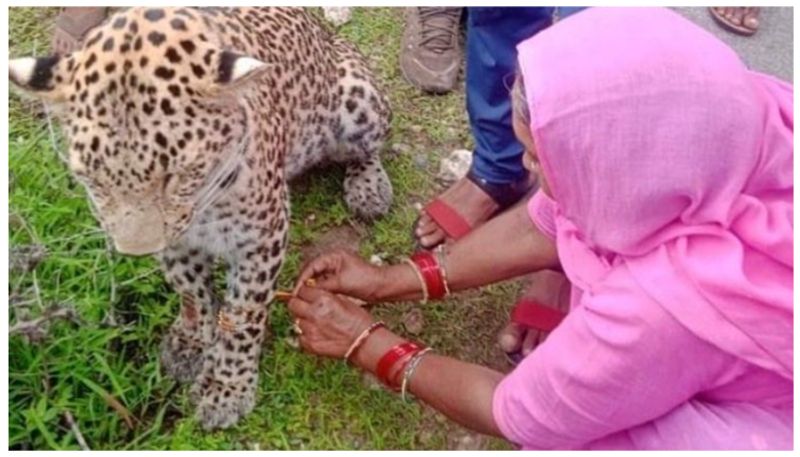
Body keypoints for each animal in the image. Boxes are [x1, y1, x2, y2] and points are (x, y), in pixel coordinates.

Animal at [7, 6, 392, 428]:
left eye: (176, 174)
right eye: (92, 178)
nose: (136, 252)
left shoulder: (262, 236)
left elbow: (243, 314)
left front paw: (227, 388)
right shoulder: (177, 238)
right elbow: (190, 289)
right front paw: (191, 342)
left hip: (359, 101)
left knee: (368, 149)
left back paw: (369, 188)